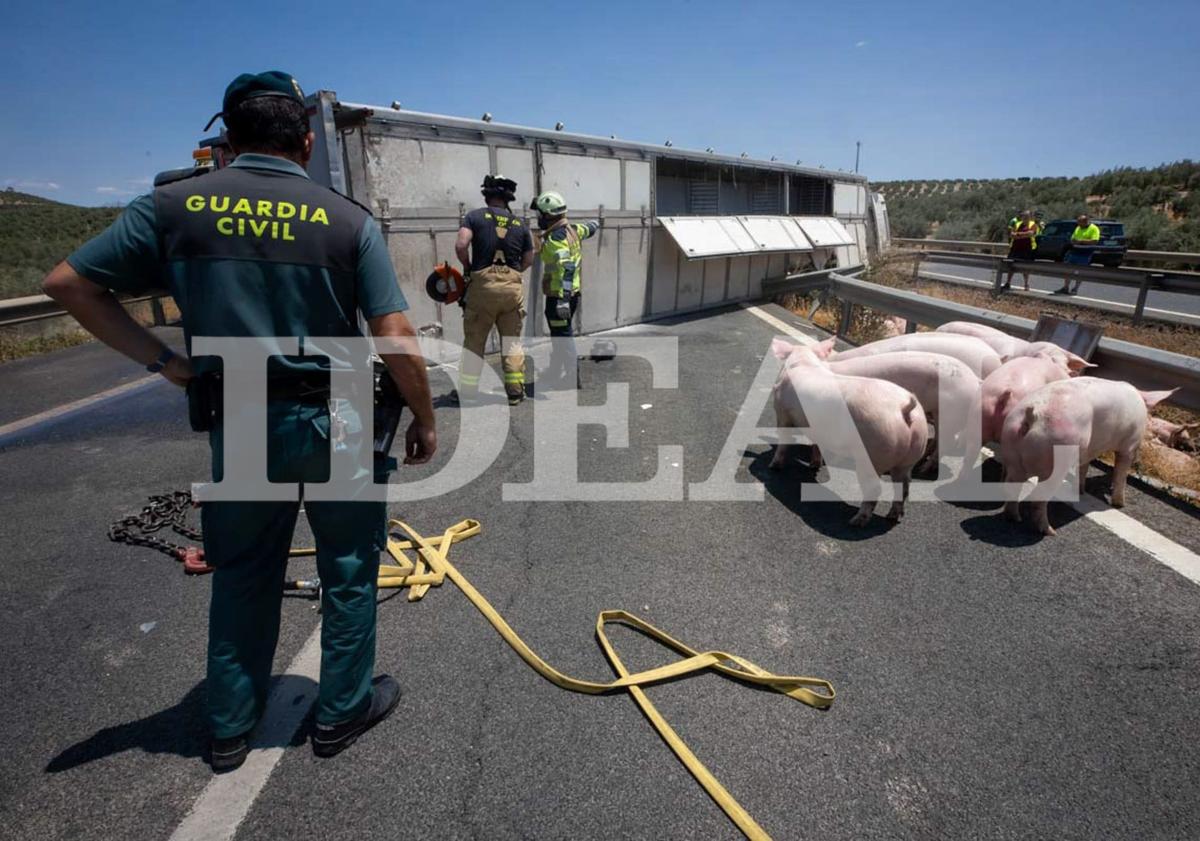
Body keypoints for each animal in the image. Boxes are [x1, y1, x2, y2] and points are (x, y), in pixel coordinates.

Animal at [768, 335, 926, 525]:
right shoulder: (818, 429)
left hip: (873, 451)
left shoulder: (782, 412)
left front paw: (773, 467)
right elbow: (816, 444)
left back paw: (856, 521)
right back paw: (892, 517)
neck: (804, 361)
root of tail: (904, 408)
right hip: (912, 454)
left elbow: (783, 440)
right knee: (904, 486)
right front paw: (814, 466)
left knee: (875, 489)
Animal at [998, 379, 1176, 535]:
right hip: (1057, 455)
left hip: (1011, 446)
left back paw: (1014, 518)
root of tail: (1033, 416)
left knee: (1011, 487)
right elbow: (1121, 473)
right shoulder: (1129, 445)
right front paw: (1120, 505)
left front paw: (1081, 490)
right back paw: (1050, 532)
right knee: (1038, 499)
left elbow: (1084, 466)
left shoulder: (1089, 450)